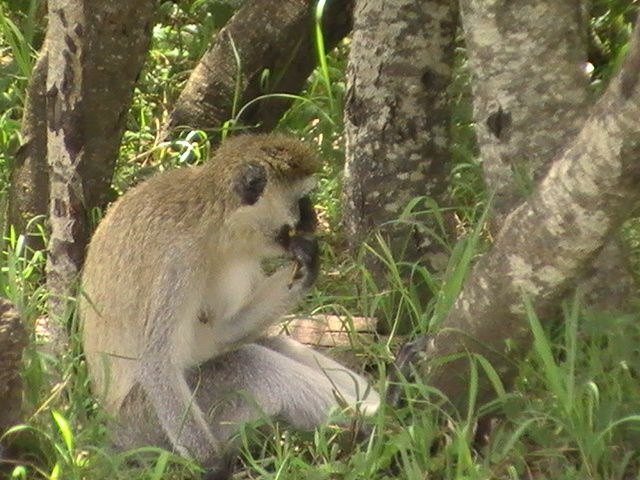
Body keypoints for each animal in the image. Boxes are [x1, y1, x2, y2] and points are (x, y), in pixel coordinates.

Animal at [80, 133, 380, 478]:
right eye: (302, 201)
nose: (315, 219)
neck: (210, 221)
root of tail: (111, 430)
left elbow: (222, 332)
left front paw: (307, 265)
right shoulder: (179, 261)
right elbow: (156, 366)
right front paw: (213, 464)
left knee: (270, 345)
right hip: (146, 426)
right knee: (252, 365)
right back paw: (379, 419)